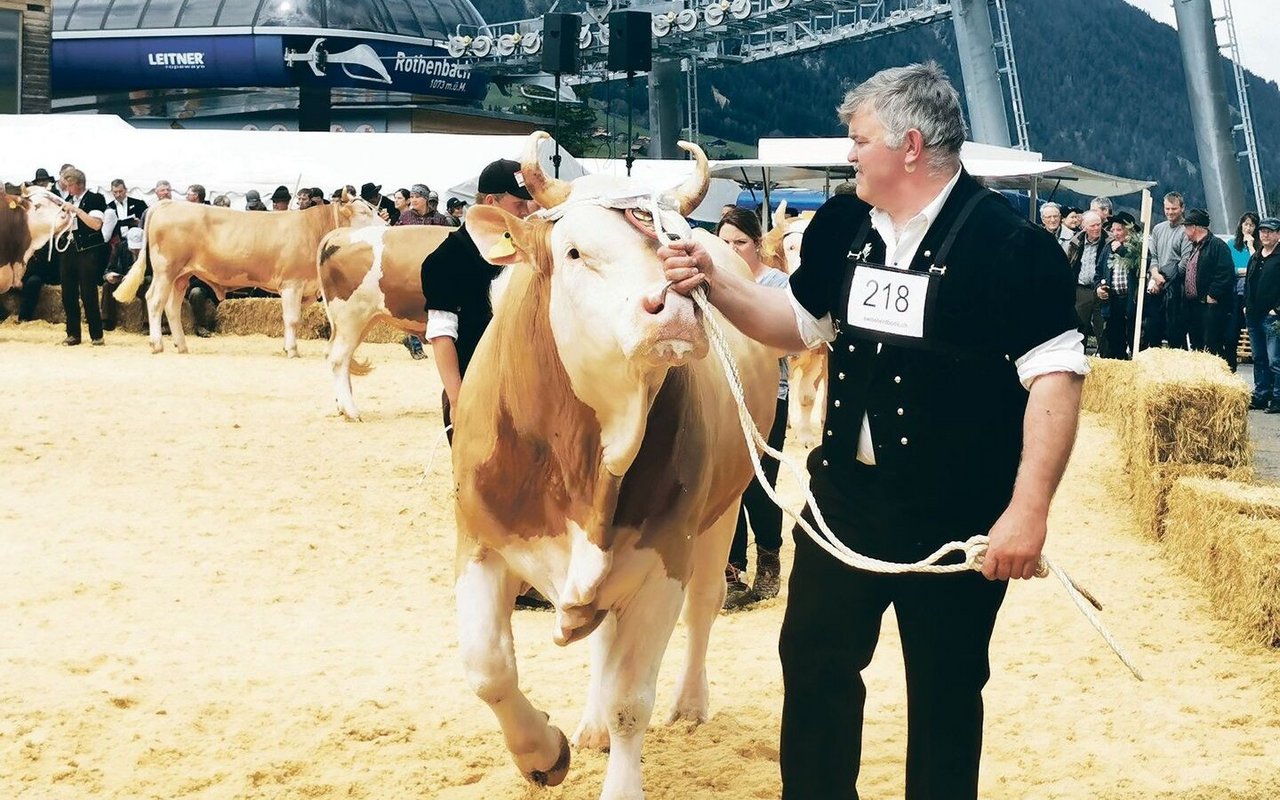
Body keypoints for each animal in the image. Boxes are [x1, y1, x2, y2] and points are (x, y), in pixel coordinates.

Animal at [112, 192, 381, 353]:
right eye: (365, 212)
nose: (387, 224)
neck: (313, 229)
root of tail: (168, 203)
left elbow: (295, 318)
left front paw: (288, 346)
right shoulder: (291, 284)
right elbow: (292, 319)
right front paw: (292, 350)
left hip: (181, 276)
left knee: (172, 307)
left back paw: (182, 345)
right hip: (165, 270)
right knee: (154, 300)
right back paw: (157, 343)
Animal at [450, 131, 773, 798]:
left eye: (679, 245)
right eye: (576, 251)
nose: (673, 308)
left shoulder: (663, 560)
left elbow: (633, 699)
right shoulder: (481, 540)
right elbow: (488, 668)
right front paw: (542, 752)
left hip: (723, 512)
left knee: (703, 606)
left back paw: (690, 703)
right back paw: (591, 726)